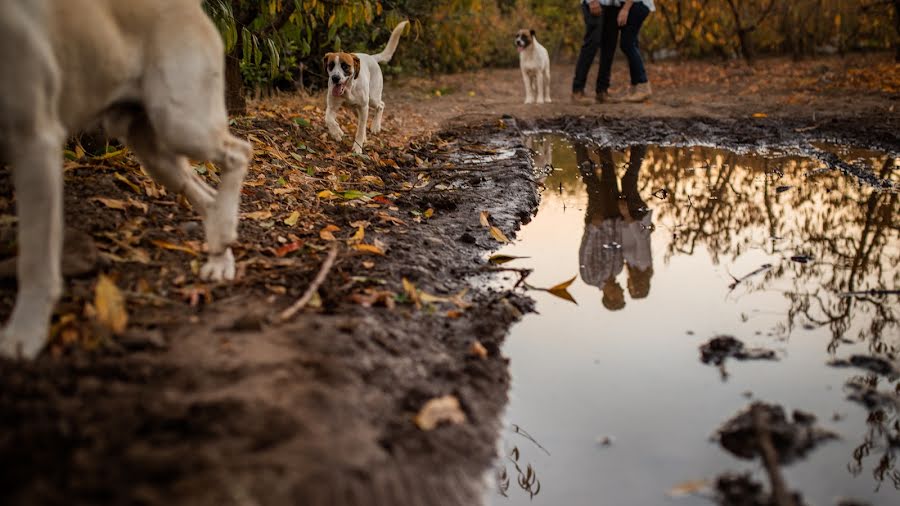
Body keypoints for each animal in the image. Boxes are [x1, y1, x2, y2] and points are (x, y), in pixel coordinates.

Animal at [0, 0, 250, 360]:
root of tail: (191, 6)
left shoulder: (36, 141)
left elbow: (36, 259)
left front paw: (24, 333)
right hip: (152, 150)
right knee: (207, 197)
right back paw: (220, 253)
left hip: (181, 120)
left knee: (239, 152)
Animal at [324, 20, 408, 154]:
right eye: (331, 65)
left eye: (345, 66)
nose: (335, 78)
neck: (349, 89)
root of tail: (372, 57)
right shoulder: (332, 106)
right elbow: (328, 118)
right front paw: (336, 132)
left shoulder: (364, 107)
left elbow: (360, 129)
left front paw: (357, 147)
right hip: (356, 108)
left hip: (372, 99)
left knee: (381, 105)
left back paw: (375, 126)